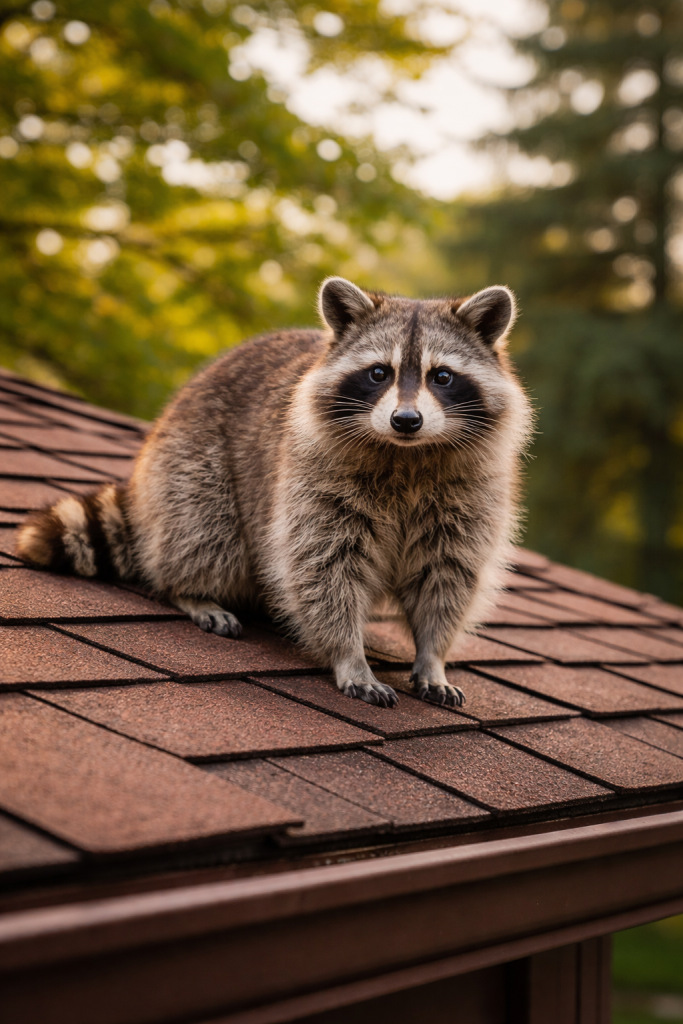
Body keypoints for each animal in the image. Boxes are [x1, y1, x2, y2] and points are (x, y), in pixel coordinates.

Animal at [17, 278, 532, 709]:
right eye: (378, 374)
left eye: (441, 376)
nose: (406, 420)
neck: (406, 454)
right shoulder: (314, 480)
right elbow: (323, 568)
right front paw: (350, 655)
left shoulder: (471, 496)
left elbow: (447, 576)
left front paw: (432, 656)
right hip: (192, 462)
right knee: (204, 532)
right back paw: (190, 589)